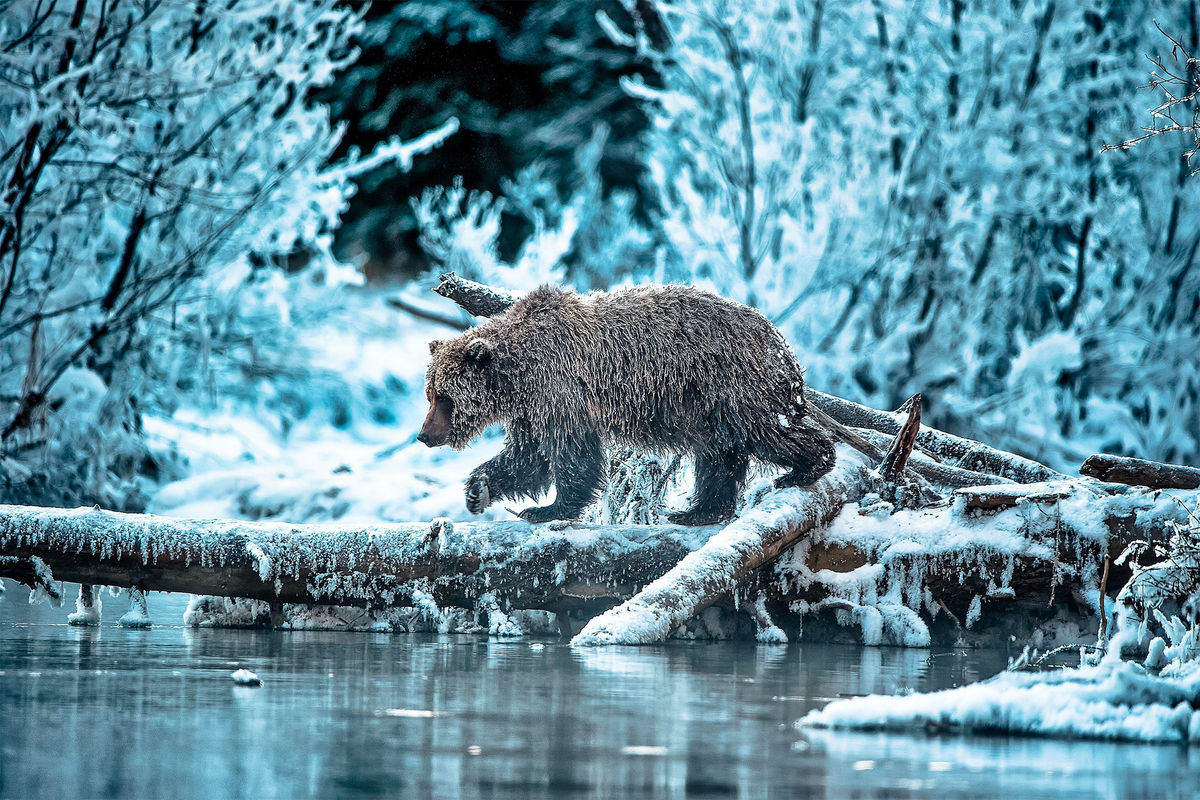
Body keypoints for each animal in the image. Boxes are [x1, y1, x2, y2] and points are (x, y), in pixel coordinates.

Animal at [420, 286, 835, 525]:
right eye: (431, 394)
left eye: (445, 397)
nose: (424, 435)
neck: (518, 374)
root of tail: (781, 343)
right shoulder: (531, 408)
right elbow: (527, 457)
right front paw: (478, 490)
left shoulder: (562, 390)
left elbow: (572, 454)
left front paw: (548, 509)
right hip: (706, 405)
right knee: (720, 454)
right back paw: (696, 511)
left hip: (731, 384)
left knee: (764, 432)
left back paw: (807, 466)